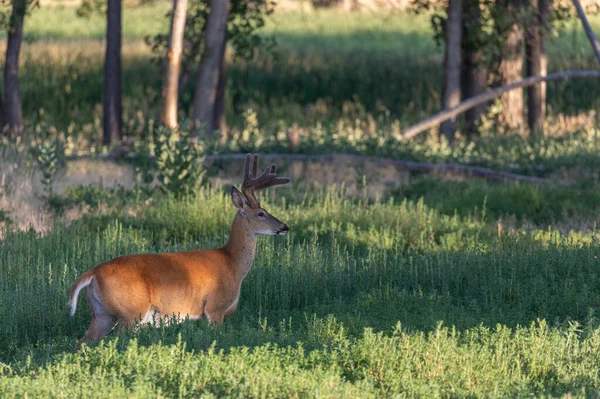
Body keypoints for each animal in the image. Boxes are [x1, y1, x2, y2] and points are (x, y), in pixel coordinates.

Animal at [68, 155, 288, 348]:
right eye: (261, 213)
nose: (284, 227)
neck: (233, 262)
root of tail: (94, 272)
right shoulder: (215, 307)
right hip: (131, 311)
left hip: (102, 314)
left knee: (82, 343)